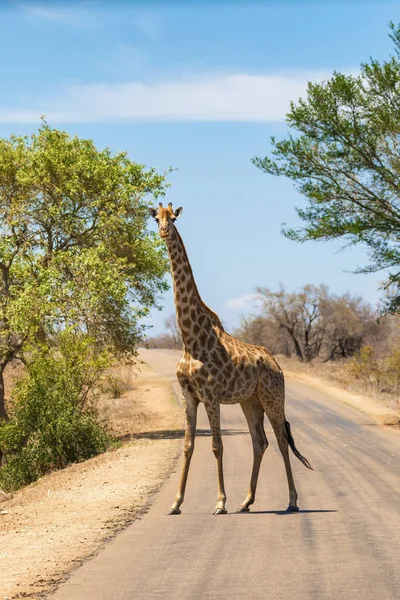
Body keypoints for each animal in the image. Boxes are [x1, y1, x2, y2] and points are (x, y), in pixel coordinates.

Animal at [149, 202, 312, 516]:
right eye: (155, 218)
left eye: (173, 218)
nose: (163, 231)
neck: (190, 340)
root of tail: (278, 366)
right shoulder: (189, 395)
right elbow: (188, 445)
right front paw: (176, 503)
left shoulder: (211, 395)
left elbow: (217, 445)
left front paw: (220, 503)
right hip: (250, 401)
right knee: (260, 442)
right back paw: (246, 501)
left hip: (273, 397)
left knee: (281, 440)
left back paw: (292, 501)